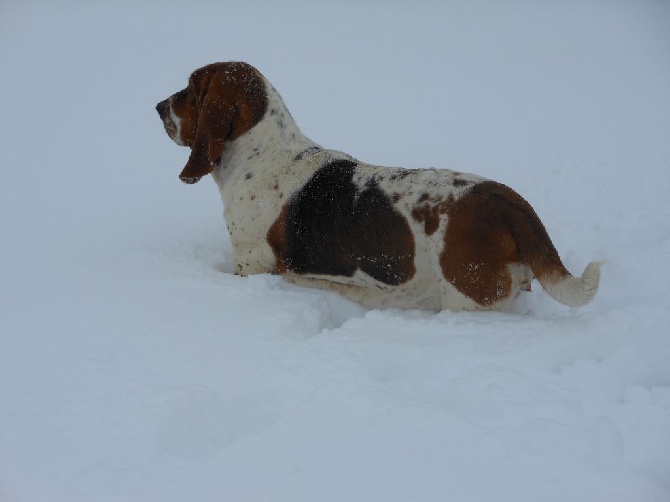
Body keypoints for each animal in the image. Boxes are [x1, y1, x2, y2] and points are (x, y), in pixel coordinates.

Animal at [158, 61, 604, 312]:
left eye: (192, 90)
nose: (158, 106)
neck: (260, 151)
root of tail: (511, 205)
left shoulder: (250, 264)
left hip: (465, 299)